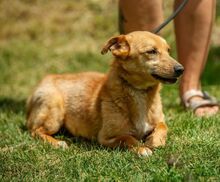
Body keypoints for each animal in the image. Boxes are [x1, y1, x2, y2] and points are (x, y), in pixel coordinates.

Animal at [26, 31, 184, 156]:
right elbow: (127, 138)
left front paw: (155, 141)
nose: (181, 69)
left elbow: (163, 127)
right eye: (151, 51)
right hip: (54, 110)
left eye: (168, 51)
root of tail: (46, 78)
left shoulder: (160, 120)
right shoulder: (105, 137)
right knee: (35, 130)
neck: (139, 92)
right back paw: (58, 143)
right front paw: (141, 148)